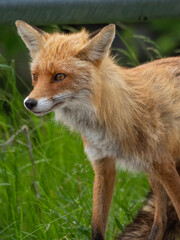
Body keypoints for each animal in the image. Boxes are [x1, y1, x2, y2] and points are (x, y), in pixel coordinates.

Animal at [15, 21, 180, 240]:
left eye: (59, 76)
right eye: (35, 77)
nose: (29, 103)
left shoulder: (164, 164)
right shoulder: (102, 165)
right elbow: (97, 227)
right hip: (151, 172)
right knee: (160, 220)